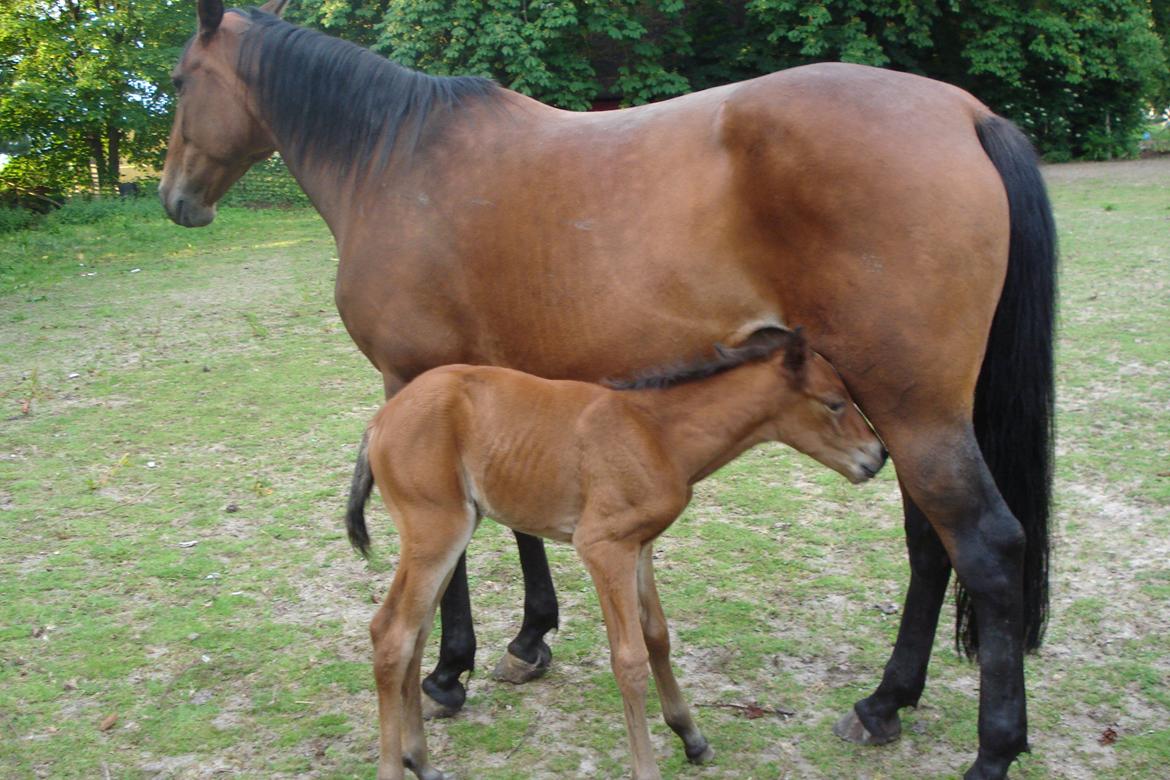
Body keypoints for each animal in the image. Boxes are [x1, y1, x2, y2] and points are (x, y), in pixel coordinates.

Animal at [346, 329, 884, 780]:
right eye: (835, 403)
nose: (877, 457)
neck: (657, 433)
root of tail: (379, 420)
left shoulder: (639, 546)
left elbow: (657, 636)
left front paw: (691, 735)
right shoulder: (603, 547)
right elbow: (628, 660)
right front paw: (649, 766)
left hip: (451, 532)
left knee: (412, 634)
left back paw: (421, 759)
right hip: (436, 531)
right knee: (392, 635)